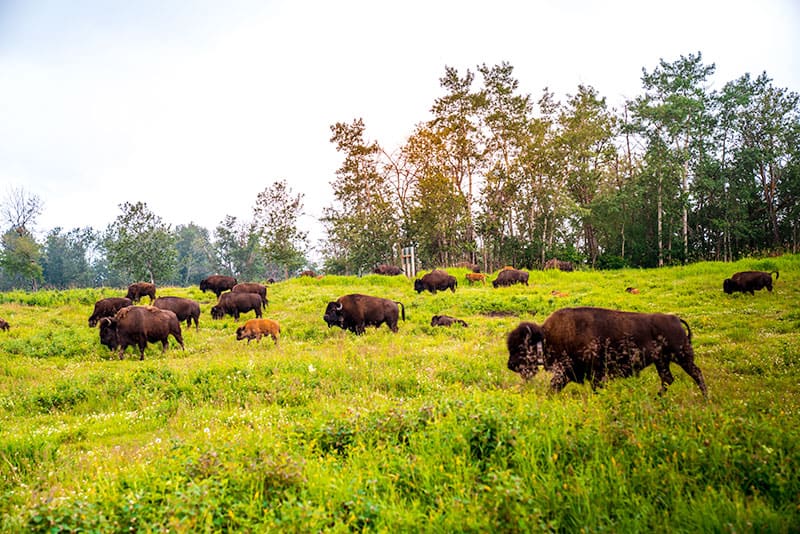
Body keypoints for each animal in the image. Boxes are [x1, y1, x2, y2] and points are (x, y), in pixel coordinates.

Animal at [506, 306, 708, 398]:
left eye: (520, 347)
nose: (510, 365)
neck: (545, 337)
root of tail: (675, 319)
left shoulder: (591, 373)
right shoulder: (567, 374)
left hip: (682, 356)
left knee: (696, 373)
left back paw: (705, 397)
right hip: (662, 361)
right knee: (667, 379)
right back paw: (658, 397)